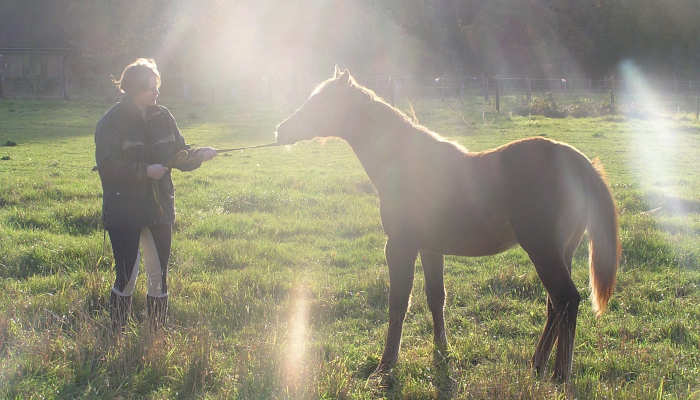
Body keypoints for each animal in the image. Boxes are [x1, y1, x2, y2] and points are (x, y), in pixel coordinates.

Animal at [274, 66, 616, 382]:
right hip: (560, 252)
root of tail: (579, 163)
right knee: (554, 305)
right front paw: (442, 352)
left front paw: (385, 366)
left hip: (542, 249)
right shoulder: (430, 248)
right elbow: (436, 297)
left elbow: (398, 303)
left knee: (567, 299)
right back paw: (537, 364)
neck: (409, 163)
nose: (280, 131)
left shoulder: (400, 245)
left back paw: (559, 374)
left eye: (322, 101)